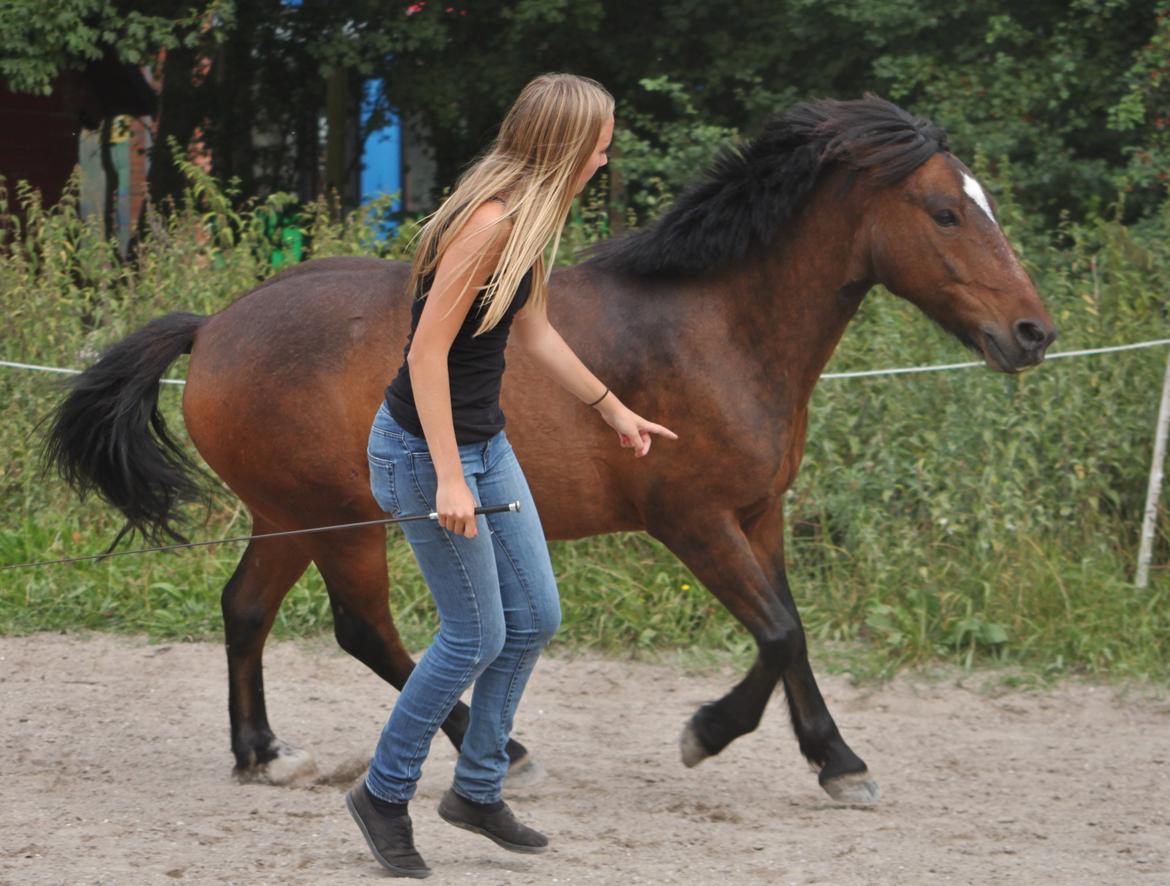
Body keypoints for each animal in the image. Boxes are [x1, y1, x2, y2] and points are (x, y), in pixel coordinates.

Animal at [45, 96, 1057, 800]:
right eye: (944, 212)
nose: (1033, 332)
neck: (720, 326)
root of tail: (213, 327)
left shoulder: (758, 514)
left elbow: (793, 634)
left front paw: (839, 762)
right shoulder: (692, 521)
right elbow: (776, 632)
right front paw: (706, 734)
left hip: (289, 516)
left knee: (246, 610)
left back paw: (263, 755)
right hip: (341, 520)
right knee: (363, 629)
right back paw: (505, 753)